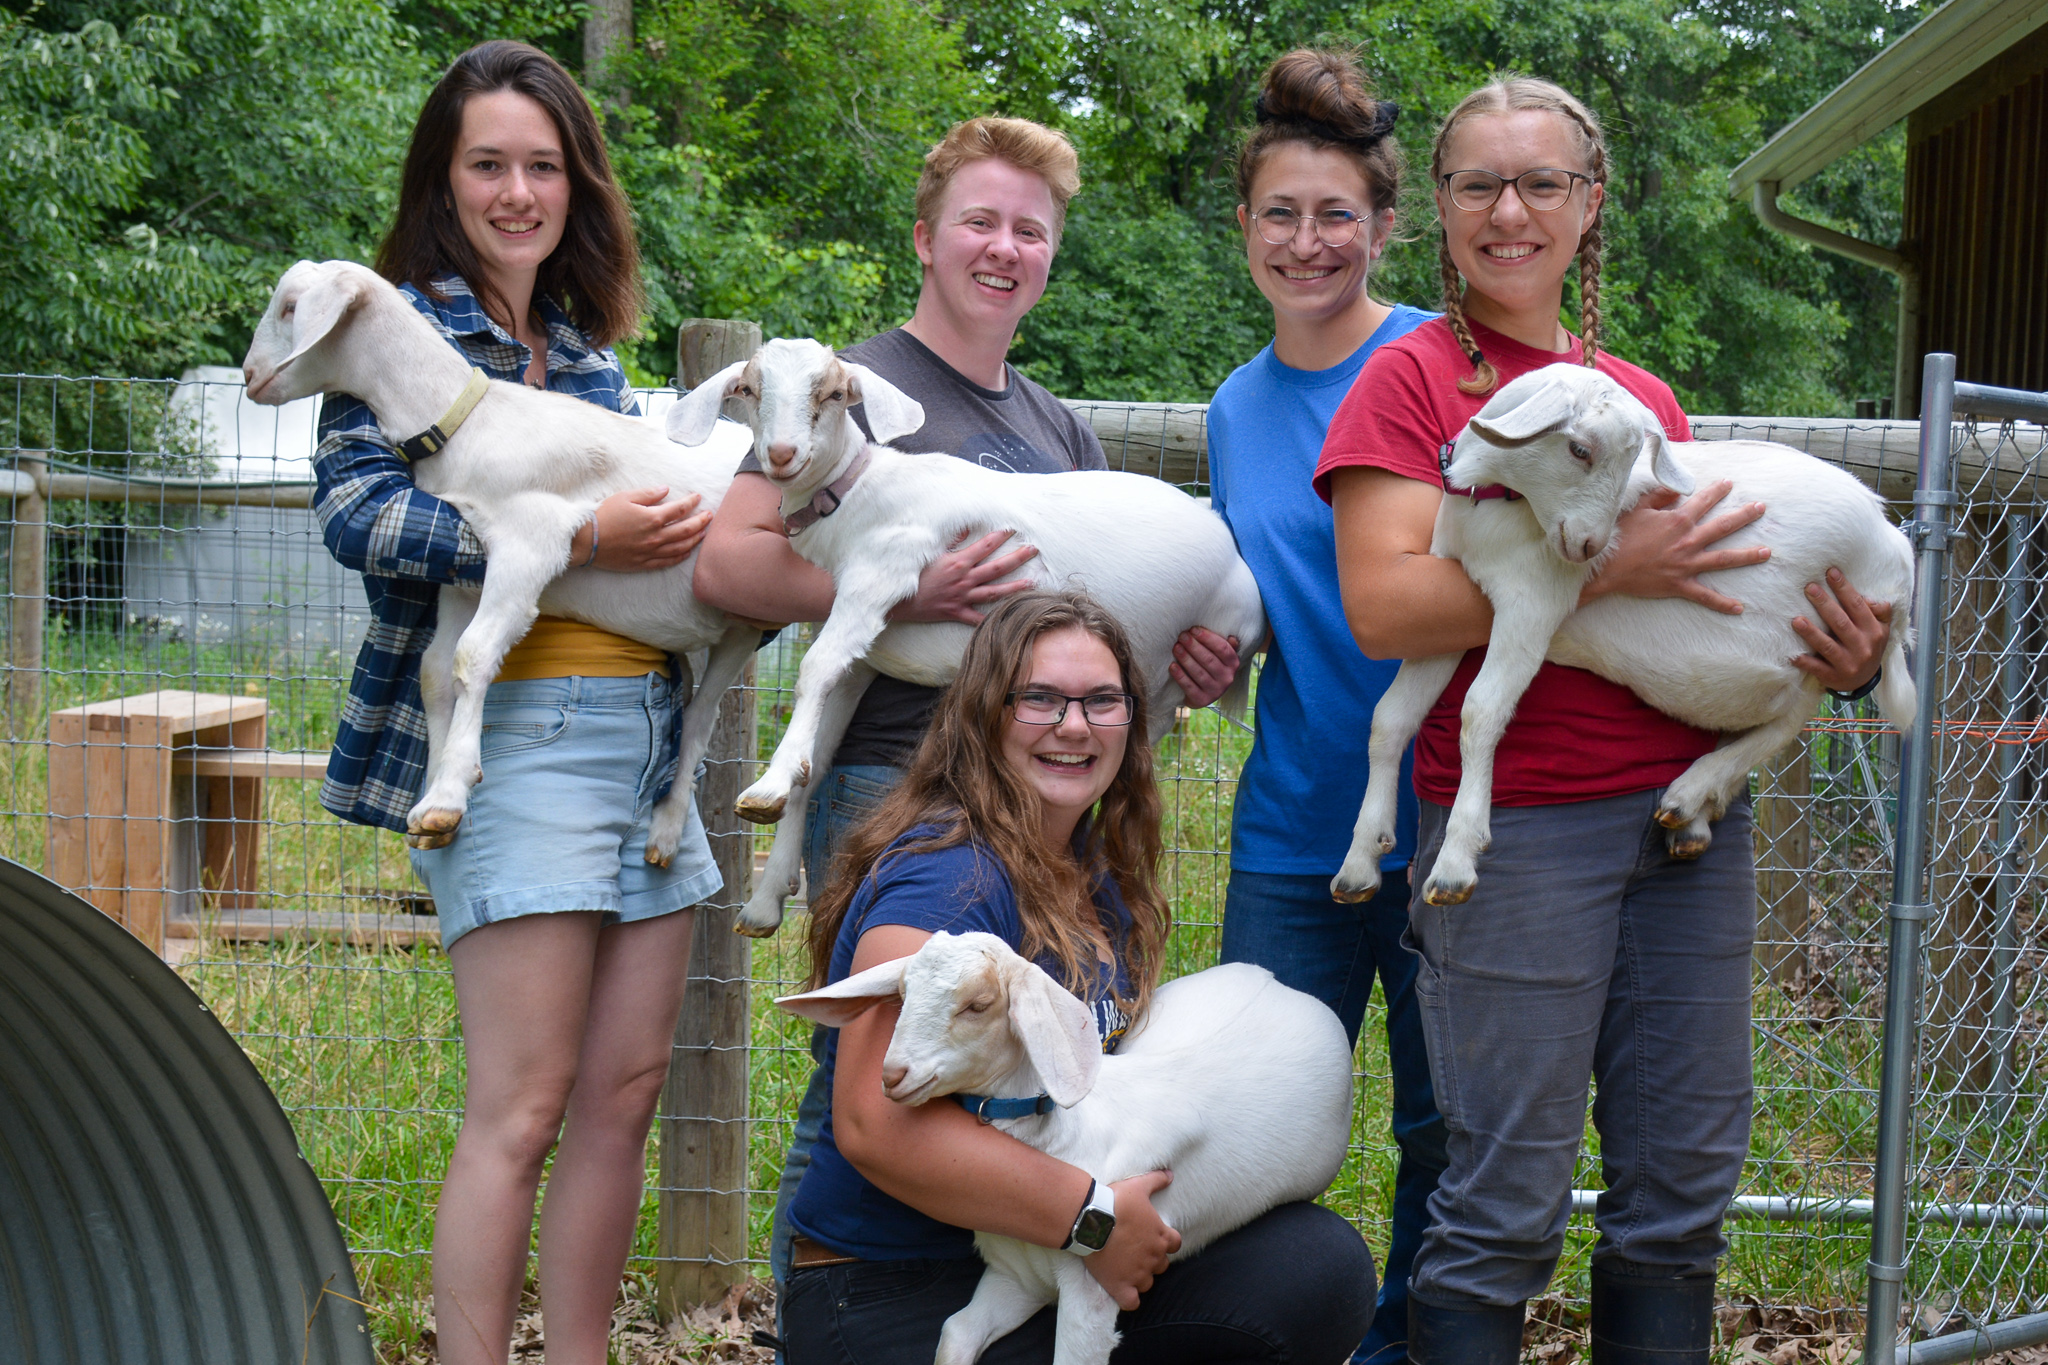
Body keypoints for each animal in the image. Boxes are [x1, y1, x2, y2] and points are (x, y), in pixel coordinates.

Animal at [245, 259, 761, 859]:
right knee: (695, 710)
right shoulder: (461, 572)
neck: (471, 425)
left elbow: (473, 656)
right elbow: (434, 670)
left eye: (290, 308)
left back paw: (670, 826)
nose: (251, 374)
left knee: (703, 719)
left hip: (747, 623)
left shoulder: (529, 542)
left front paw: (449, 793)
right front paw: (433, 800)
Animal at [663, 341, 1261, 941]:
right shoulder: (865, 655)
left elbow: (815, 666)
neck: (857, 498)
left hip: (1161, 682)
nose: (782, 453)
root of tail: (1244, 574)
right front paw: (767, 898)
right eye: (749, 390)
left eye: (832, 394)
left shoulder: (883, 572)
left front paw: (767, 788)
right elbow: (823, 752)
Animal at [774, 929, 1351, 1365]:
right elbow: (955, 1332)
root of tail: (1278, 983)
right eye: (903, 993)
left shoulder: (1094, 1291)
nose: (893, 1075)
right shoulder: (1015, 1276)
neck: (1063, 1143)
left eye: (978, 1005)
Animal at [1335, 368, 1908, 912]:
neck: (1493, 509)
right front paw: (1360, 862)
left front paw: (1455, 864)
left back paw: (1689, 792)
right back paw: (1694, 814)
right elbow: (1391, 716)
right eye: (1579, 449)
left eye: (1634, 458)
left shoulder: (1532, 604)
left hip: (1829, 636)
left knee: (1791, 719)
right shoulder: (1445, 619)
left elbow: (1480, 710)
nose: (1590, 545)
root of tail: (1895, 545)